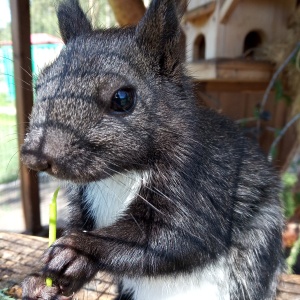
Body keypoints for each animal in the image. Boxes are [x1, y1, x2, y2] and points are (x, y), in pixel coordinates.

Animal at [21, 1, 284, 298]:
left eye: (122, 98)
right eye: (40, 84)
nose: (36, 156)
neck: (120, 174)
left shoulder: (203, 185)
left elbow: (175, 238)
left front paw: (78, 250)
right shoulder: (83, 199)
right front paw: (40, 281)